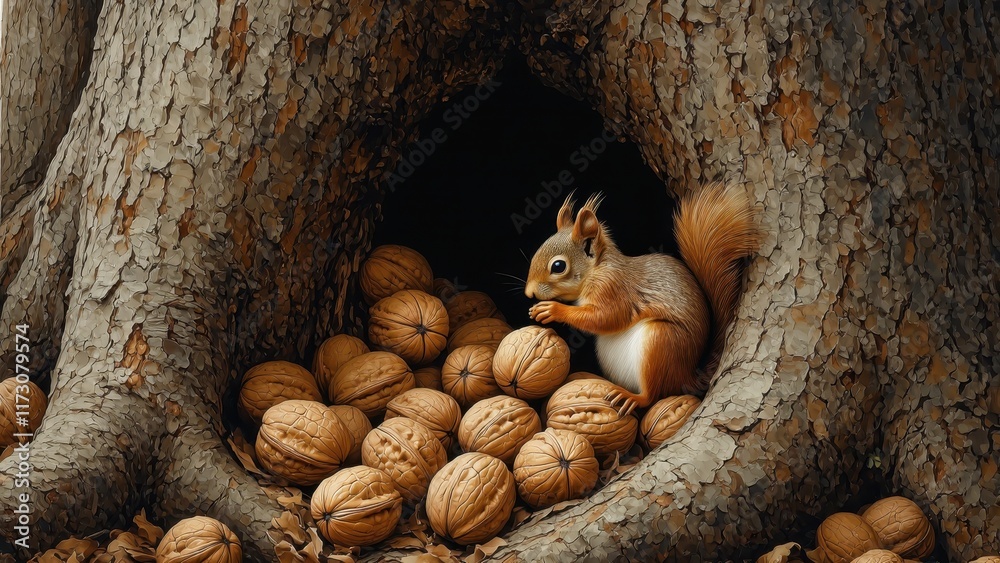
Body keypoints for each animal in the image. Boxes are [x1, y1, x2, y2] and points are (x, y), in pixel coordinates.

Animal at [525, 181, 760, 416]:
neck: (597, 269)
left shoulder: (615, 289)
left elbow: (605, 318)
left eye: (558, 266)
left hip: (662, 342)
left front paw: (553, 310)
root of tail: (686, 376)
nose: (529, 293)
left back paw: (633, 398)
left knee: (652, 395)